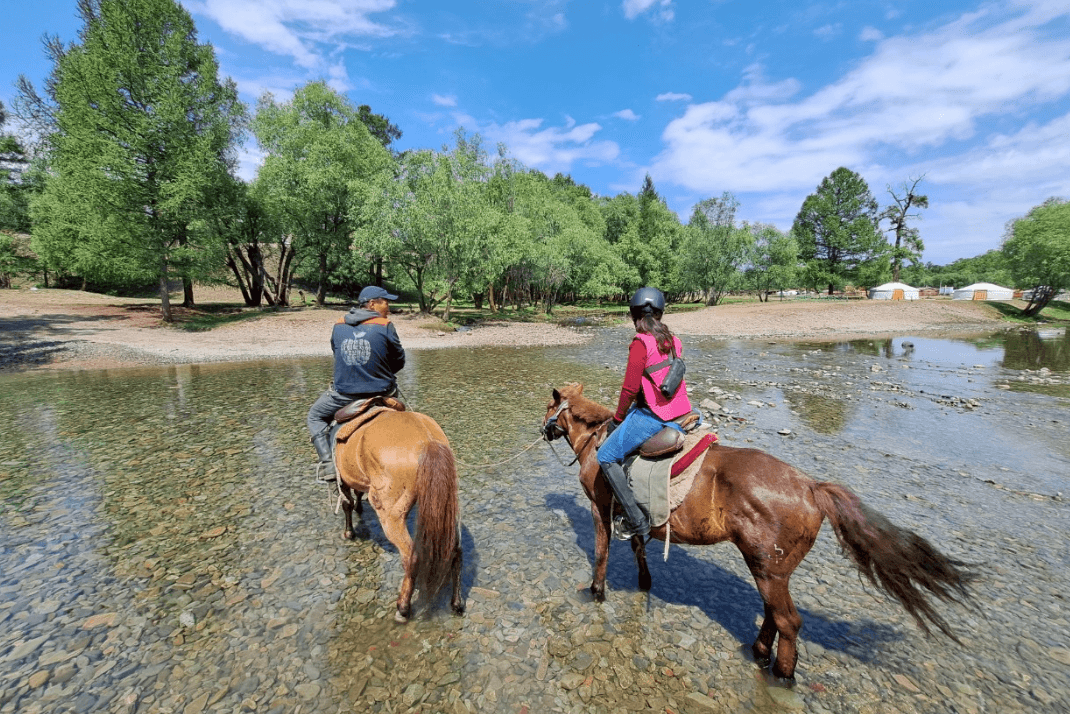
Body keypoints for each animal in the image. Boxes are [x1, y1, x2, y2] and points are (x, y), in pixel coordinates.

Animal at [334, 410, 465, 623]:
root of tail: (426, 440)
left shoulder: (342, 478)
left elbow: (347, 503)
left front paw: (349, 532)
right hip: (446, 506)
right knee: (456, 551)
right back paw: (456, 603)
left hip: (391, 514)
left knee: (411, 557)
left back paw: (402, 608)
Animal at [542, 383, 976, 683]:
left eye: (549, 406)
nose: (541, 429)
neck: (597, 441)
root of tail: (811, 487)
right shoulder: (628, 516)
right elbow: (638, 548)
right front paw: (644, 583)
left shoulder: (600, 509)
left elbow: (602, 552)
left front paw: (596, 592)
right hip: (770, 568)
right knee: (772, 613)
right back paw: (760, 652)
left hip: (766, 565)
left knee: (788, 621)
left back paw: (782, 674)